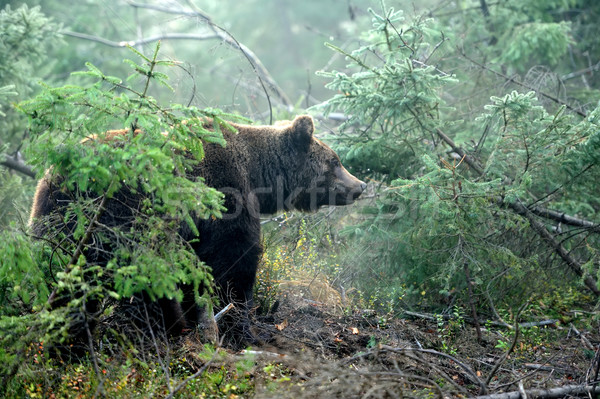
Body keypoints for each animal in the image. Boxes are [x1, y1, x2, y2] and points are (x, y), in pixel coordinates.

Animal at [29, 115, 366, 346]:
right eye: (335, 161)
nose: (360, 185)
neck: (258, 174)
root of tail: (50, 178)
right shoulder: (224, 195)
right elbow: (233, 261)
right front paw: (239, 322)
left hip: (66, 228)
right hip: (122, 215)